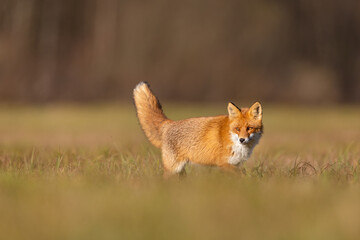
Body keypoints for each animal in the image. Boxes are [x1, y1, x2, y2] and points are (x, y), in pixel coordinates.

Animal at [134, 81, 262, 177]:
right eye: (237, 129)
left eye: (249, 128)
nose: (242, 139)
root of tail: (169, 123)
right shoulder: (223, 163)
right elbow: (242, 174)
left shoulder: (234, 164)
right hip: (173, 169)